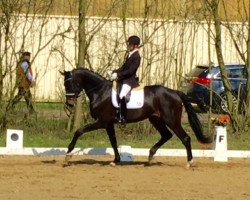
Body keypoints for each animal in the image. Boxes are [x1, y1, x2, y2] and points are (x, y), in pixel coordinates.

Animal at [61, 68, 212, 166]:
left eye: (70, 83)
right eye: (65, 84)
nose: (69, 103)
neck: (100, 91)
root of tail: (175, 92)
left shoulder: (101, 121)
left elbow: (79, 131)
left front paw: (68, 155)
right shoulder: (108, 123)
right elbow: (113, 141)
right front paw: (116, 160)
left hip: (171, 120)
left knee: (185, 138)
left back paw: (189, 162)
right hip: (155, 119)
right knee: (166, 135)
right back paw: (150, 156)